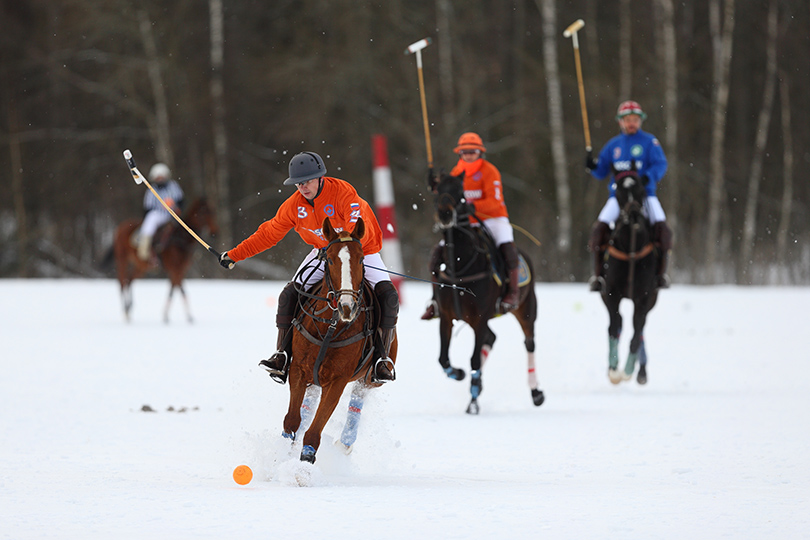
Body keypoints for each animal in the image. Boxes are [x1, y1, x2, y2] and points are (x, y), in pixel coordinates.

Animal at [430, 173, 544, 414]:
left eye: (459, 192)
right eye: (437, 190)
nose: (445, 214)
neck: (460, 265)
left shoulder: (480, 317)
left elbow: (473, 360)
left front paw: (473, 403)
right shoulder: (446, 316)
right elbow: (444, 359)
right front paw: (461, 374)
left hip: (526, 308)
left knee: (529, 343)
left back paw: (536, 392)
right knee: (491, 338)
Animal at [596, 172, 660, 384]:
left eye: (641, 189)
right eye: (618, 192)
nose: (632, 215)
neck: (632, 247)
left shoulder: (644, 296)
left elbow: (637, 331)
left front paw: (629, 370)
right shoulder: (611, 293)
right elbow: (614, 326)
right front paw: (614, 370)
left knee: (638, 328)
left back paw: (640, 371)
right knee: (616, 324)